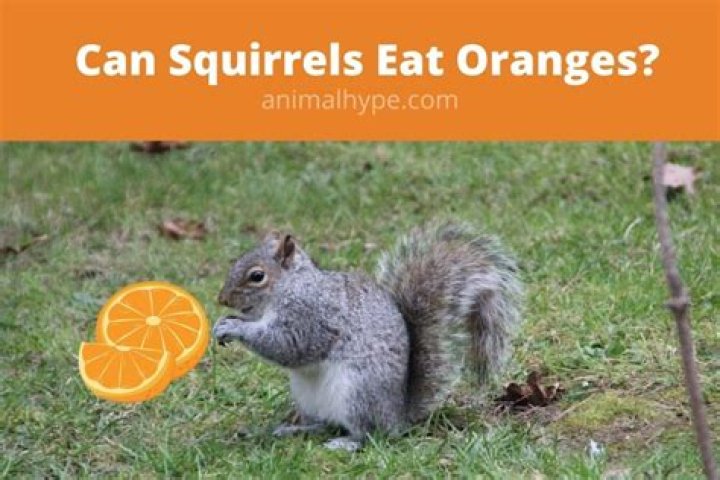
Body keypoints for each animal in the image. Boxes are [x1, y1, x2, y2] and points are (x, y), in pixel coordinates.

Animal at [213, 222, 522, 451]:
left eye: (257, 276)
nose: (222, 299)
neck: (291, 286)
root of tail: (399, 414)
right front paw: (223, 323)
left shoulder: (310, 315)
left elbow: (289, 345)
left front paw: (235, 328)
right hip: (307, 396)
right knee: (326, 423)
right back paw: (297, 428)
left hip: (358, 392)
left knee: (373, 434)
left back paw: (347, 443)